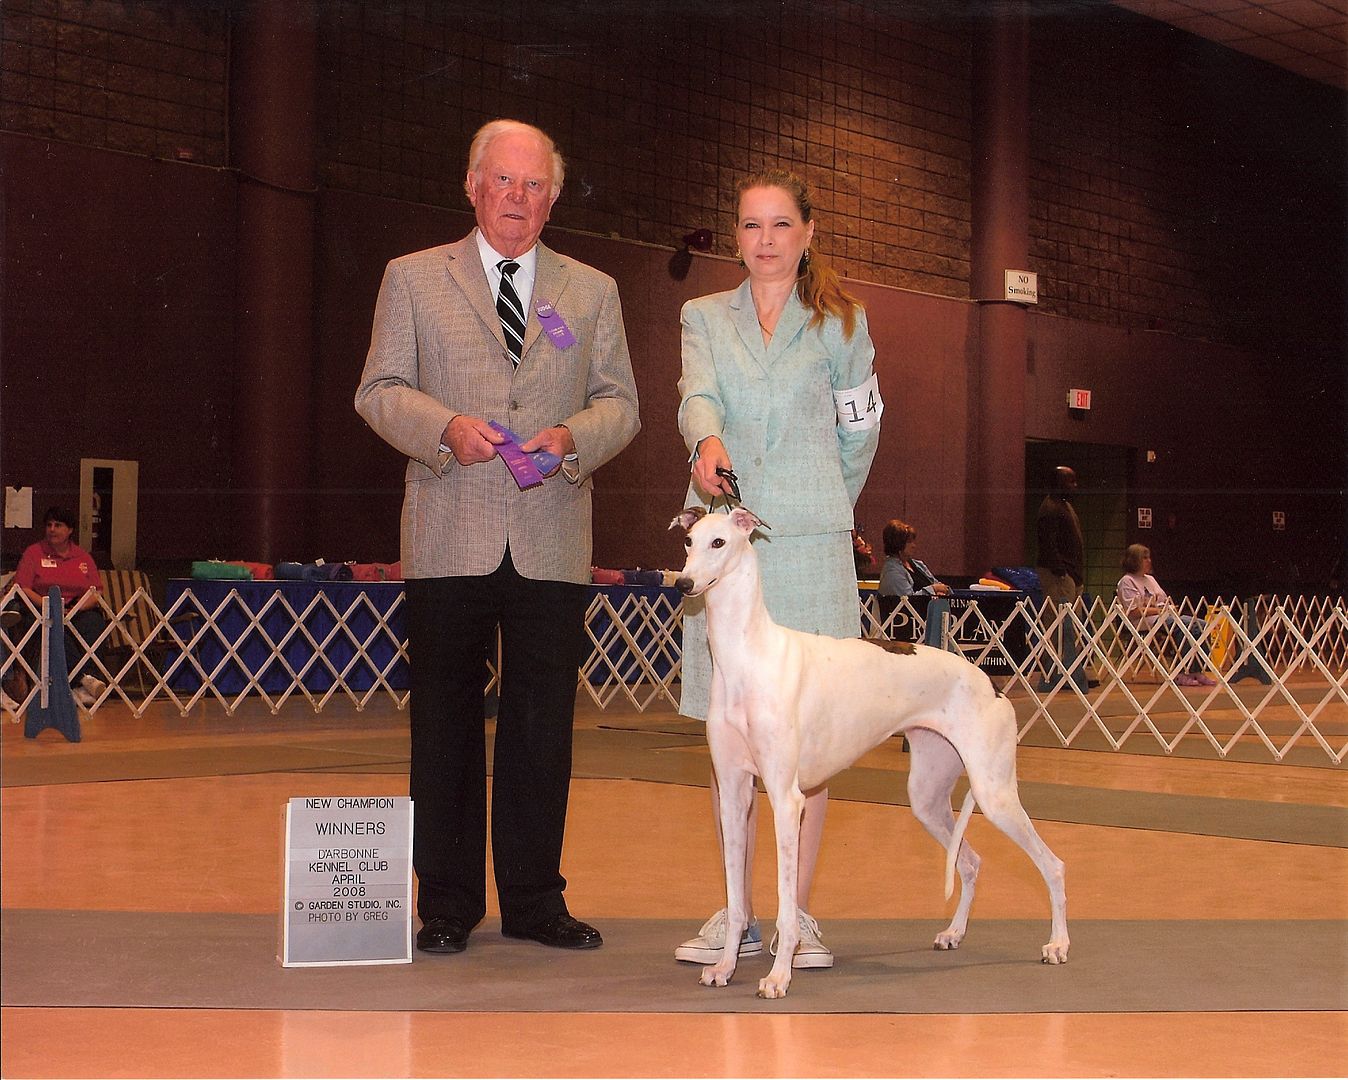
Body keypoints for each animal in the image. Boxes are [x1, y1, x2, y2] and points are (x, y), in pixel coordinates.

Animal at [672, 505, 1069, 999]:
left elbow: (786, 901)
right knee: (972, 862)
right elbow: (736, 896)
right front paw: (724, 967)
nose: (683, 584)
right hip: (927, 797)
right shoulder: (732, 792)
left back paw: (1057, 944)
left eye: (720, 543)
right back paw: (953, 933)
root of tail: (990, 684)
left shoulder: (787, 799)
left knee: (1053, 865)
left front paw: (779, 976)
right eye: (688, 541)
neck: (748, 655)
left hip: (995, 795)